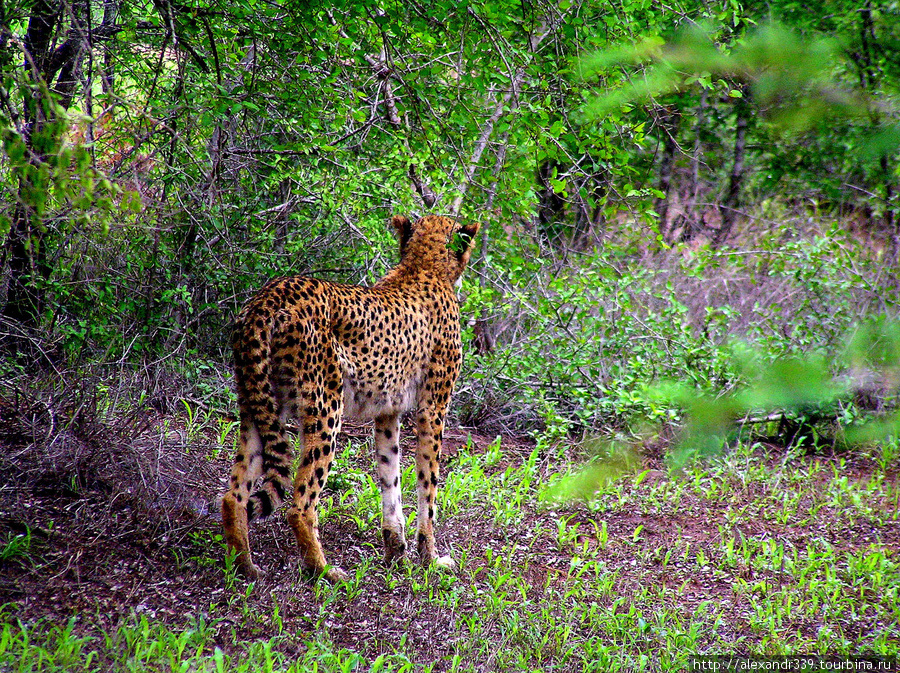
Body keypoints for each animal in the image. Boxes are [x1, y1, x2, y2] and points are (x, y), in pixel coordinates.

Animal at [221, 217, 482, 584]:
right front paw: (430, 558)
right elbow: (427, 488)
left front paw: (395, 551)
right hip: (326, 408)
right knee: (300, 505)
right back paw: (323, 570)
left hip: (257, 405)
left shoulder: (388, 413)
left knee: (234, 495)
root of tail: (269, 295)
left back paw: (244, 566)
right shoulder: (433, 409)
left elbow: (390, 477)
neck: (424, 265)